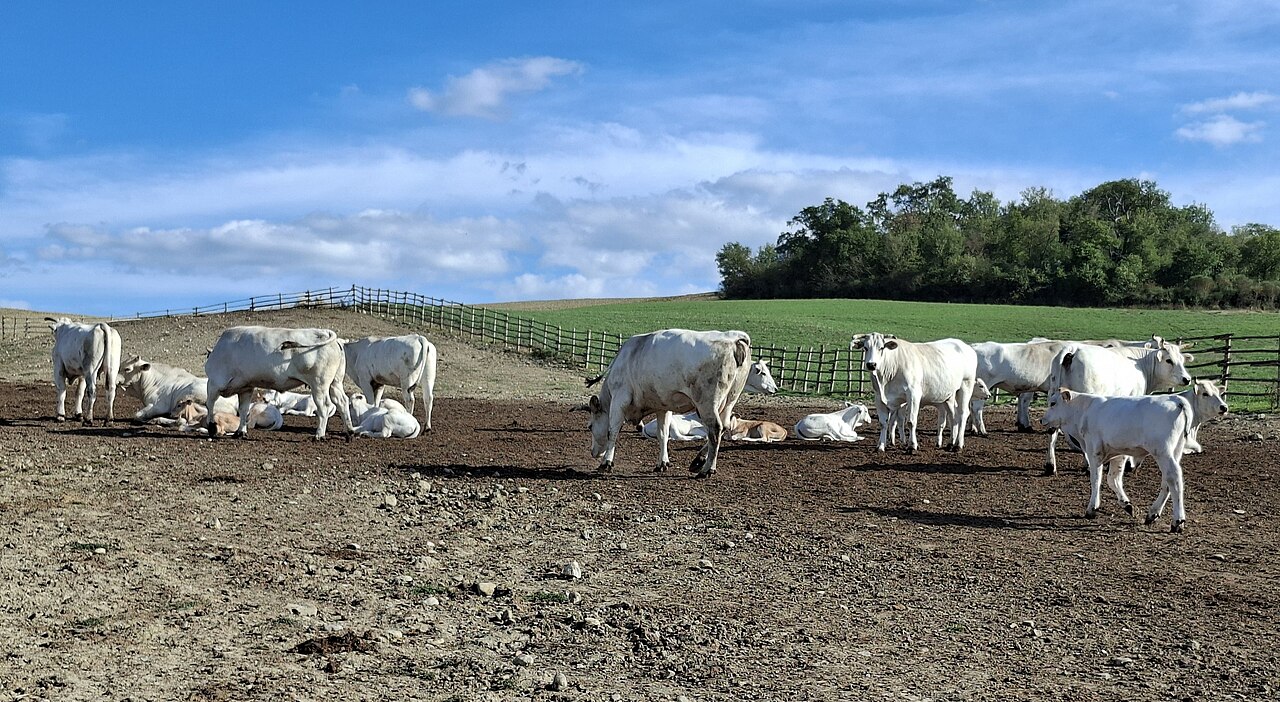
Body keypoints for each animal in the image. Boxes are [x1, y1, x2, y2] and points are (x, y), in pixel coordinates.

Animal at [203, 326, 354, 440]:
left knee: (324, 406)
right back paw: (349, 432)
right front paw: (241, 432)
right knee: (342, 402)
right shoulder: (246, 387)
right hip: (335, 382)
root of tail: (324, 332)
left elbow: (210, 405)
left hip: (319, 384)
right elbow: (243, 410)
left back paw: (319, 435)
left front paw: (211, 427)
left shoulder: (214, 383)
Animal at [584, 329, 752, 478]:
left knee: (715, 431)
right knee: (724, 426)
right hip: (729, 400)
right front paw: (662, 463)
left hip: (707, 403)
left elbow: (612, 432)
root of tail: (734, 338)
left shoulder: (619, 399)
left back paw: (707, 469)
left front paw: (606, 462)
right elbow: (663, 435)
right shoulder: (662, 407)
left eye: (590, 426)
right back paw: (698, 461)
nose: (593, 452)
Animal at [1040, 388, 1195, 532]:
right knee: (1166, 481)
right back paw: (1153, 514)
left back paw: (1177, 521)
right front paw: (1127, 505)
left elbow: (1095, 479)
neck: (1085, 410)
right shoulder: (1118, 454)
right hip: (1175, 451)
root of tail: (1175, 399)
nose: (1042, 420)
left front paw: (1092, 508)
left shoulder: (1094, 451)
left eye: (1053, 403)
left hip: (1163, 452)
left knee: (1174, 477)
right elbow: (1113, 479)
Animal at [1044, 340, 1193, 474]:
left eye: (1182, 360)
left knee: (1052, 430)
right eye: (1169, 360)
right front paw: (1129, 463)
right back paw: (1087, 465)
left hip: (1055, 399)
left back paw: (1051, 466)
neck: (1140, 364)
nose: (1187, 379)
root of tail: (1073, 348)